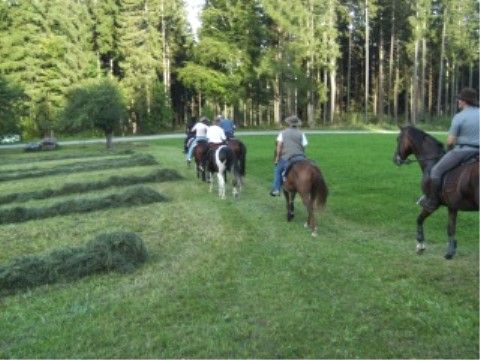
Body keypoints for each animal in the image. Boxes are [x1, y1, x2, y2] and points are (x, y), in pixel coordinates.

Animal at [392, 126, 478, 258]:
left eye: (398, 139)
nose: (395, 159)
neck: (432, 162)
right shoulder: (452, 206)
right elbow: (450, 228)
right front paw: (450, 251)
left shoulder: (432, 204)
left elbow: (419, 219)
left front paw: (420, 244)